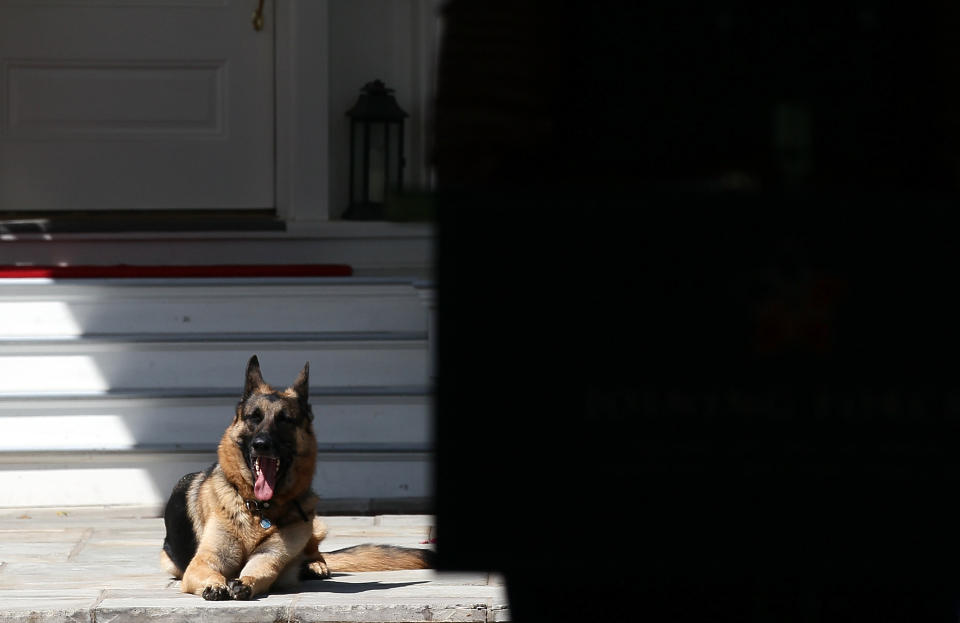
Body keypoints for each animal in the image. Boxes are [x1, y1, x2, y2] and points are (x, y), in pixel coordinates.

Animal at [163, 356, 434, 600]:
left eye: (285, 420)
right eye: (254, 417)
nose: (261, 444)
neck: (259, 510)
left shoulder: (269, 557)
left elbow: (260, 572)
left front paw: (245, 582)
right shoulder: (203, 562)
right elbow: (209, 572)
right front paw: (215, 584)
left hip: (314, 524)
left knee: (313, 552)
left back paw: (315, 565)